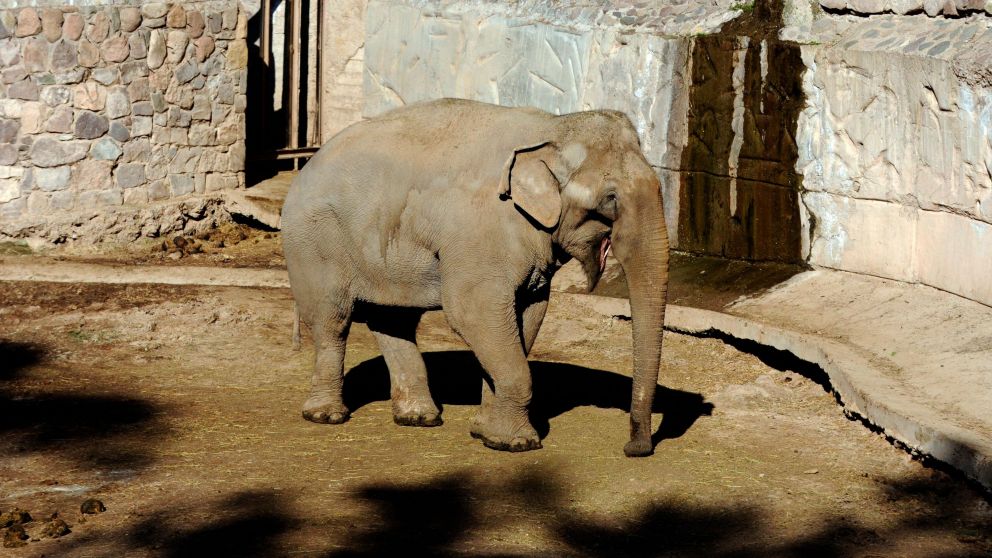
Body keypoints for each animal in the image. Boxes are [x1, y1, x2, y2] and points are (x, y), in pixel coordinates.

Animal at [281, 98, 669, 456]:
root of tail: (307, 164)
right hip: (315, 242)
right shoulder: (482, 234)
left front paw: (485, 432)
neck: (553, 127)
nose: (634, 448)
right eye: (610, 198)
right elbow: (473, 312)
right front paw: (517, 443)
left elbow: (527, 314)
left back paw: (419, 417)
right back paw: (326, 416)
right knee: (333, 320)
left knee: (394, 320)